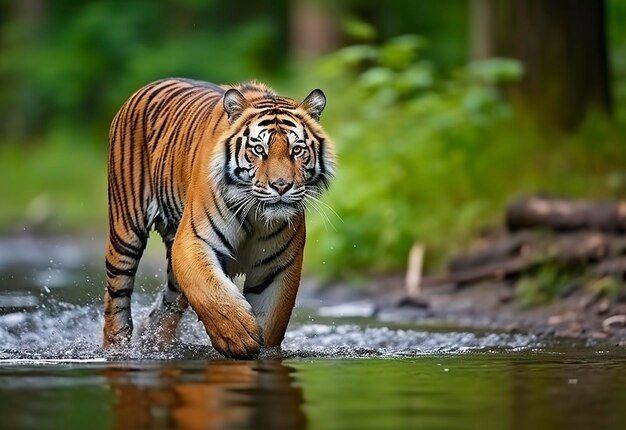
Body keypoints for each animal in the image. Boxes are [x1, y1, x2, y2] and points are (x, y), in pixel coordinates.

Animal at [105, 75, 334, 358]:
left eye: (297, 150)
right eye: (259, 149)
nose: (281, 186)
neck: (255, 214)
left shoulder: (276, 266)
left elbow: (270, 320)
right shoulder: (193, 240)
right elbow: (209, 290)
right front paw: (237, 335)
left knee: (164, 310)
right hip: (125, 231)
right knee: (116, 298)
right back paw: (116, 348)